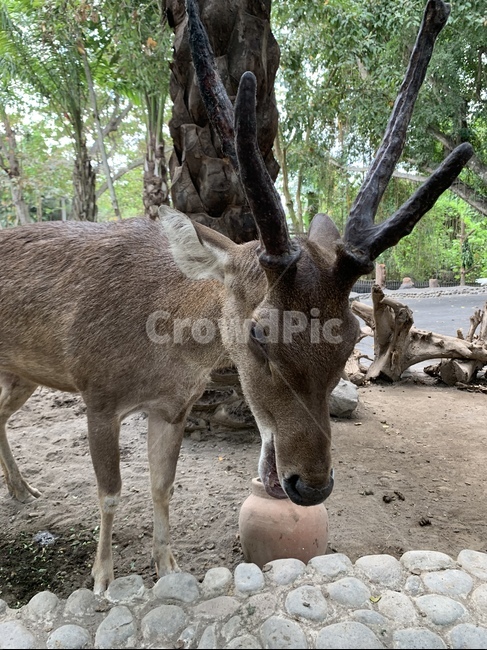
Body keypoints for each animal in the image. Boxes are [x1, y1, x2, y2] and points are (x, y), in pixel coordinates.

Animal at [0, 0, 472, 594]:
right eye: (259, 332)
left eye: (354, 335)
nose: (311, 486)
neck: (161, 350)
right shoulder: (97, 396)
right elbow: (109, 493)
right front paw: (103, 581)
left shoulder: (173, 407)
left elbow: (162, 486)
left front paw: (169, 569)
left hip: (21, 375)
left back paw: (22, 490)